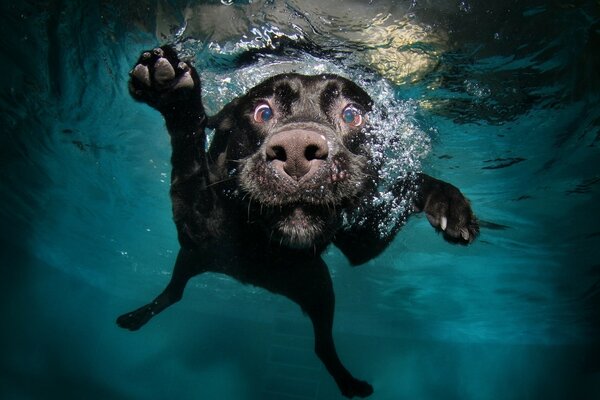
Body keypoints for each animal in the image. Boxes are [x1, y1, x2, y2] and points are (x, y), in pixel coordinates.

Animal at [117, 46, 478, 396]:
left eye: (352, 115)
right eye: (263, 112)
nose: (295, 152)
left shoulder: (363, 241)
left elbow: (407, 183)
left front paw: (448, 202)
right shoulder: (196, 221)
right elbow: (189, 157)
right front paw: (174, 93)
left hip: (318, 288)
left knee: (321, 345)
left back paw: (349, 383)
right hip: (195, 258)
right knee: (175, 293)